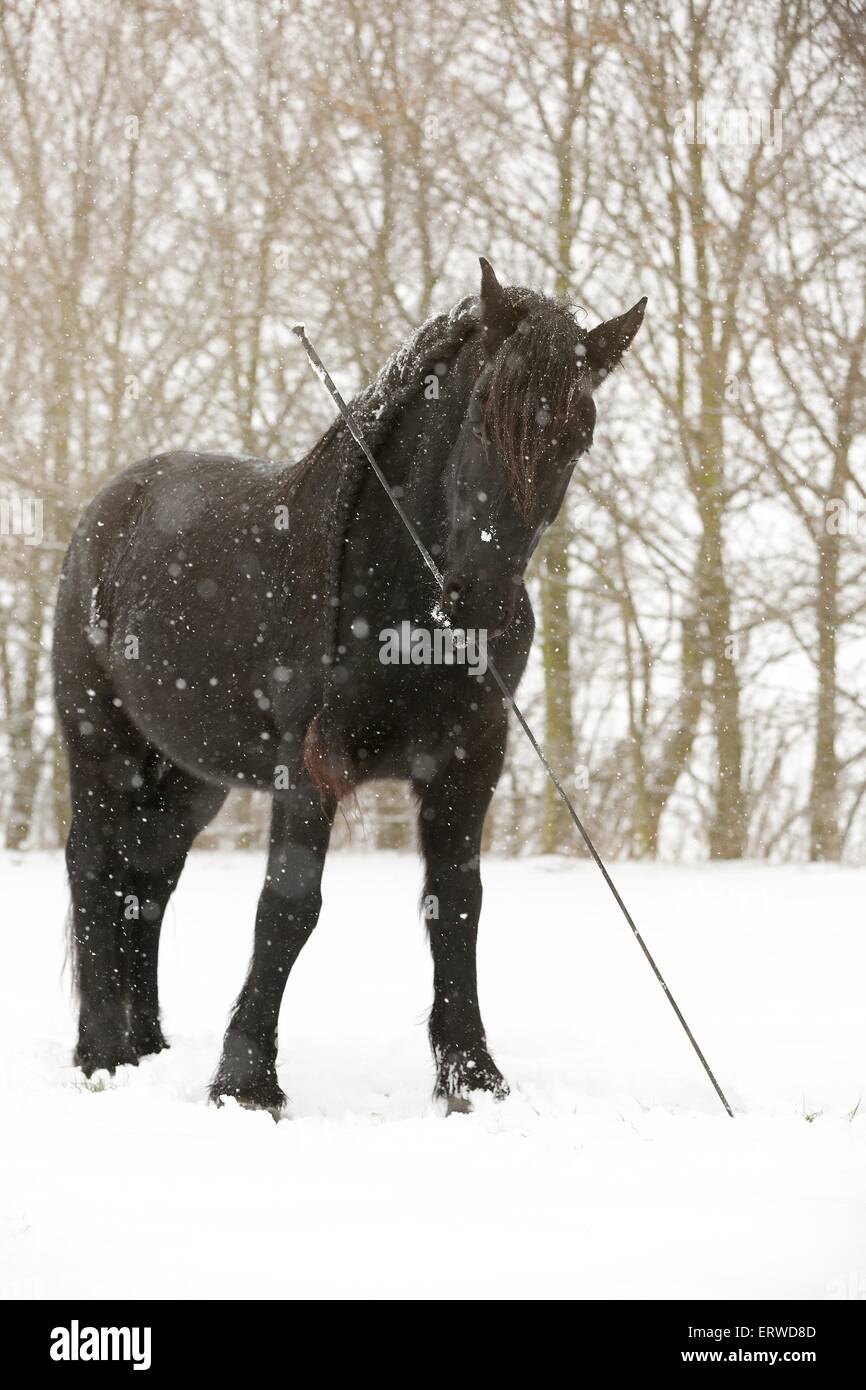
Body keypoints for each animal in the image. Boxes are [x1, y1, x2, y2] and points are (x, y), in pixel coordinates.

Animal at [53, 258, 645, 1114]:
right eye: (480, 419)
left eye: (579, 435)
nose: (481, 608)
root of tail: (110, 506)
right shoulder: (309, 772)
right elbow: (289, 908)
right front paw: (247, 1084)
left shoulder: (467, 766)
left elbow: (457, 908)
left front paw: (472, 1077)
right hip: (102, 739)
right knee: (94, 861)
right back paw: (100, 1054)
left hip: (196, 775)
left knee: (151, 873)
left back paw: (147, 1045)